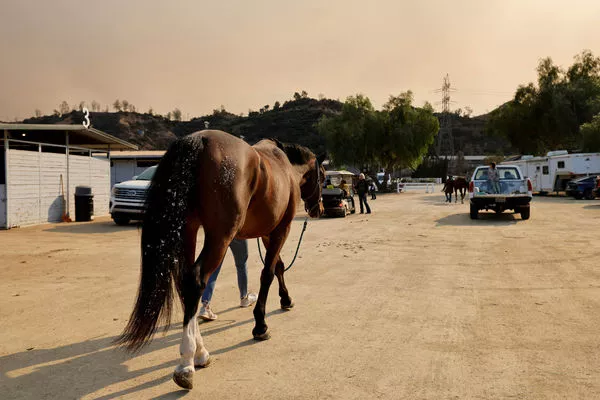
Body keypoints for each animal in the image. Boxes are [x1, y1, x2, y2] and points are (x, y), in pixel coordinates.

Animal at [115, 130, 326, 390]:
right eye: (323, 176)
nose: (319, 209)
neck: (284, 166)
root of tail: (199, 140)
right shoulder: (280, 230)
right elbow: (268, 273)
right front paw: (260, 325)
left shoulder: (268, 233)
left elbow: (278, 267)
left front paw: (286, 299)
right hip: (219, 238)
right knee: (196, 280)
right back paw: (186, 363)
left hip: (188, 231)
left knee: (185, 283)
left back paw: (200, 353)